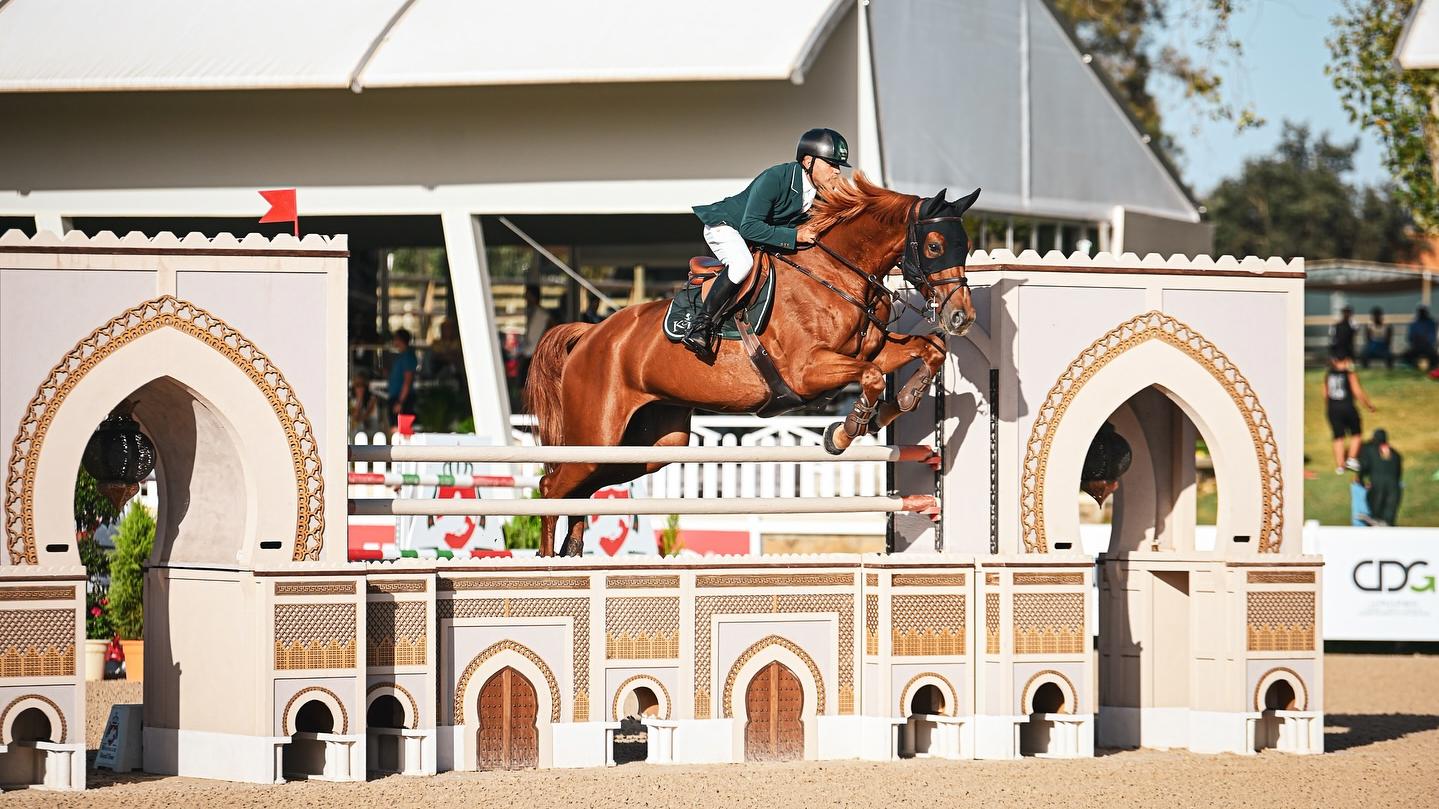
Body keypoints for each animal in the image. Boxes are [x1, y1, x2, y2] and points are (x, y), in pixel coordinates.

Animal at [523, 173, 984, 552]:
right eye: (935, 246)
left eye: (965, 247)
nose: (961, 317)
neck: (840, 276)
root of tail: (590, 334)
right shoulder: (808, 371)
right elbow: (871, 377)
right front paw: (847, 430)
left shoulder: (873, 350)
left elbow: (929, 349)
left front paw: (898, 403)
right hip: (596, 434)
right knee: (551, 485)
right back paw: (546, 565)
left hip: (646, 446)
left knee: (582, 487)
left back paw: (572, 552)